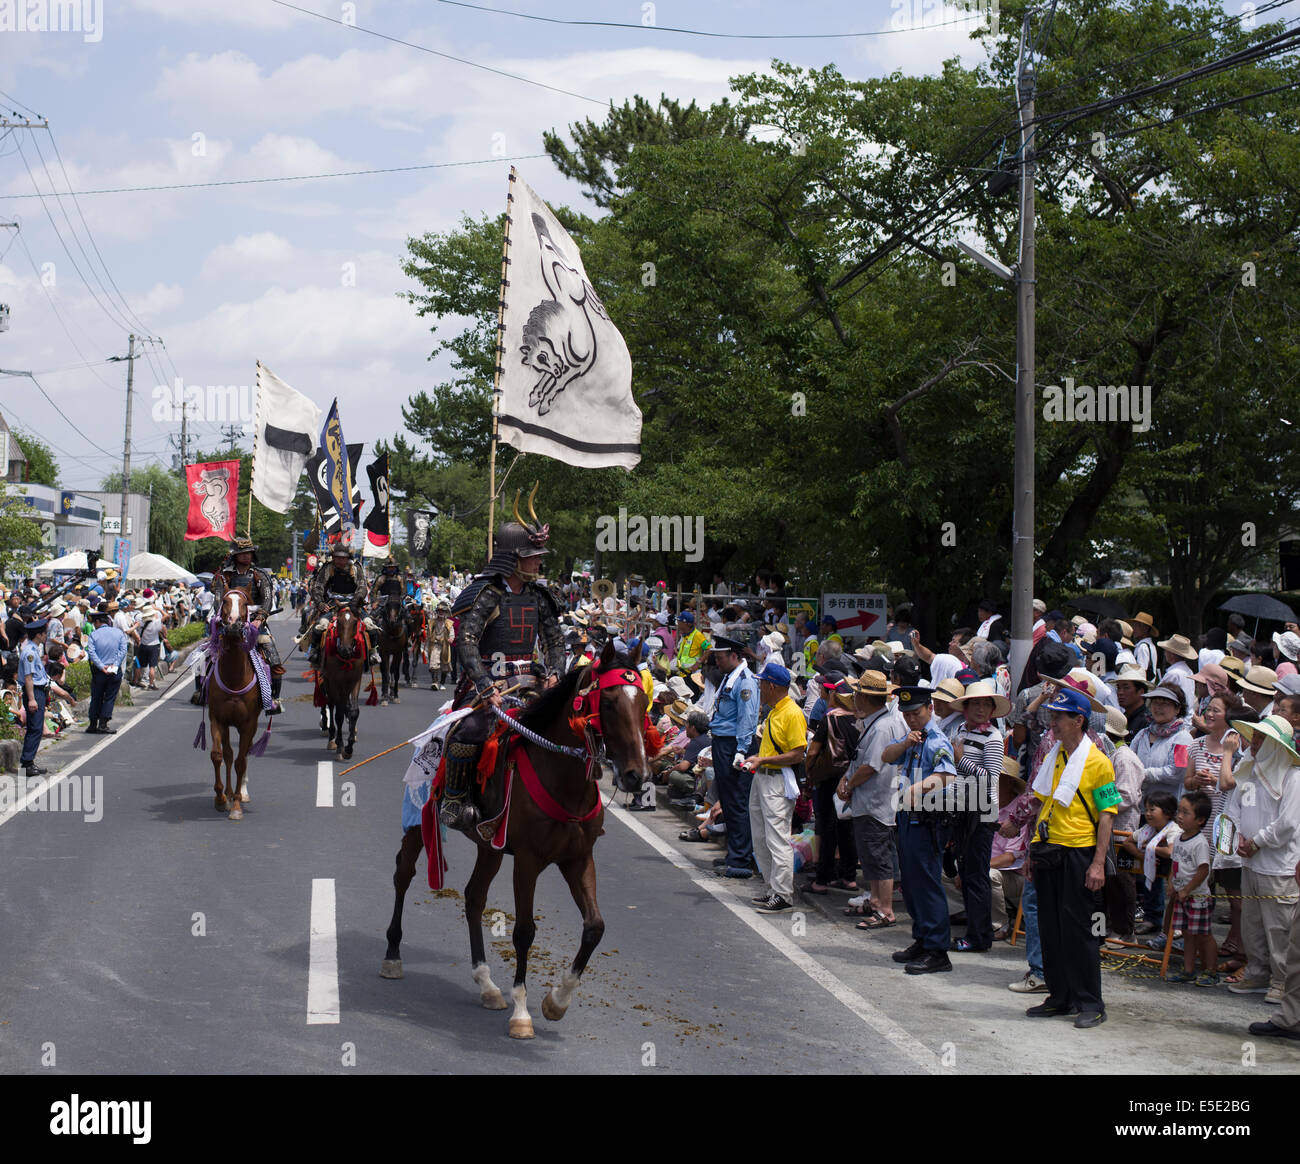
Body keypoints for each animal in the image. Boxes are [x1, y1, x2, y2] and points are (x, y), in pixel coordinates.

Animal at [206, 593, 265, 821]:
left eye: (245, 603)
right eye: (224, 601)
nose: (233, 624)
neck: (234, 678)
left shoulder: (248, 724)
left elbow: (241, 761)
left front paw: (237, 806)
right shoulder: (218, 719)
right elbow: (218, 756)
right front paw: (221, 798)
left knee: (244, 754)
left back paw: (241, 793)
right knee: (229, 755)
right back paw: (229, 793)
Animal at [319, 606, 366, 759]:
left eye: (355, 622)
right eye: (339, 623)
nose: (345, 649)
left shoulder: (355, 680)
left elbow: (353, 711)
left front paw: (349, 747)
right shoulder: (334, 681)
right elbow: (338, 714)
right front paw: (340, 745)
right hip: (327, 681)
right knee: (331, 704)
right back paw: (331, 737)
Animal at [382, 642, 650, 1040]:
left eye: (645, 701)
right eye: (609, 702)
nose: (636, 776)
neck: (562, 778)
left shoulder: (578, 858)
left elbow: (594, 927)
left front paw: (557, 1001)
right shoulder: (528, 860)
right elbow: (524, 931)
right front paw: (522, 1012)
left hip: (489, 845)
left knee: (474, 897)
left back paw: (487, 984)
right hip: (420, 818)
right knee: (403, 874)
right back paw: (393, 955)